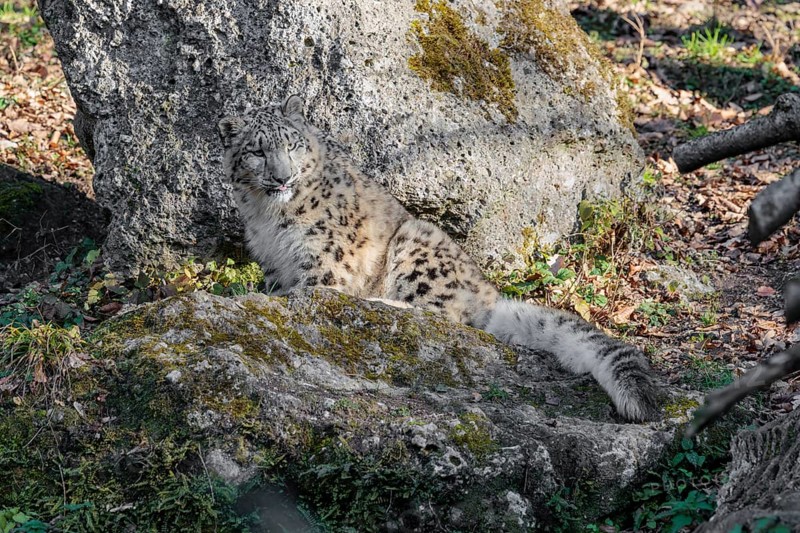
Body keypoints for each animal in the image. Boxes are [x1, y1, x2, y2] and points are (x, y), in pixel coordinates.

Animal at [218, 95, 661, 422]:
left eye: (292, 144)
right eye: (257, 150)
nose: (281, 177)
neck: (269, 219)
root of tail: (489, 293)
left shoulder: (324, 261)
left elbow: (309, 291)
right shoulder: (274, 264)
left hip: (417, 248)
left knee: (444, 315)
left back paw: (381, 302)